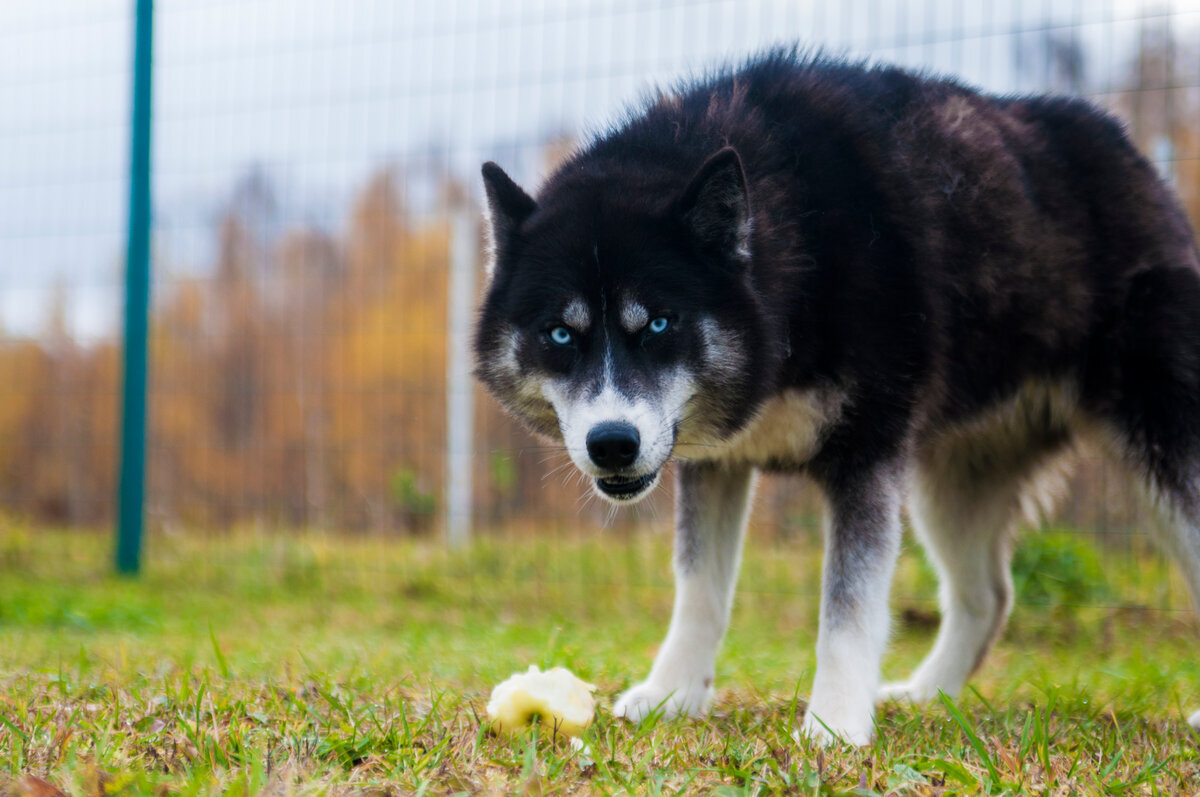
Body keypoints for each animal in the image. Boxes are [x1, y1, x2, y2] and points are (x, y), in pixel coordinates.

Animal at [472, 51, 1200, 748]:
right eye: (560, 333)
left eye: (657, 323)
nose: (612, 444)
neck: (792, 253)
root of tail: (1130, 150)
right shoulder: (716, 462)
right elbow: (699, 589)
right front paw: (673, 695)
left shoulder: (866, 458)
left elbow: (847, 610)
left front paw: (834, 726)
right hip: (951, 483)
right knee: (988, 596)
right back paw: (930, 695)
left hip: (1160, 449)